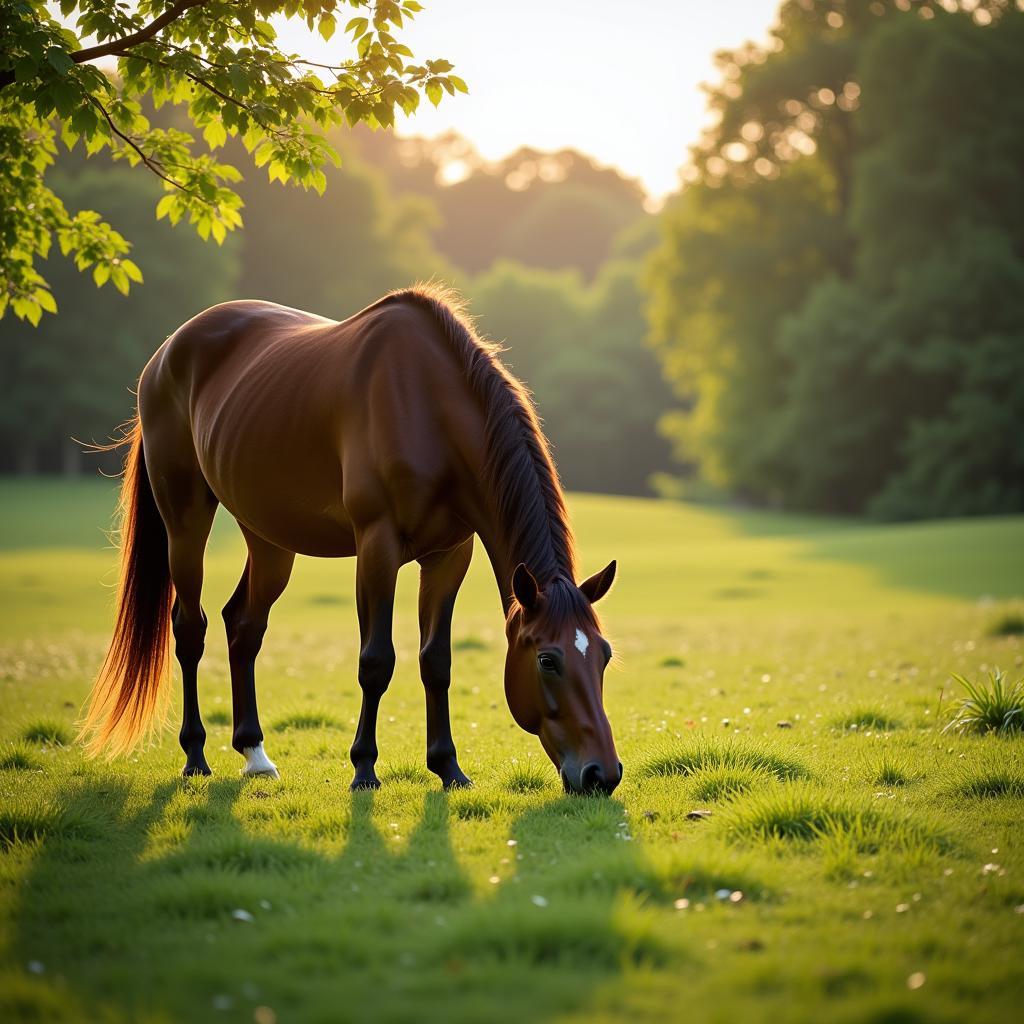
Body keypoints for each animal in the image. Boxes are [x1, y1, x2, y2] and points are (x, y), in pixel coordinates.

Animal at [79, 284, 618, 794]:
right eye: (547, 660)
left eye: (605, 654)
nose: (602, 775)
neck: (426, 407)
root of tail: (167, 352)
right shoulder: (377, 548)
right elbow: (376, 661)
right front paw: (364, 768)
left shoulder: (449, 557)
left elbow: (436, 662)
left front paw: (448, 768)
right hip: (185, 521)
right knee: (190, 627)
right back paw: (195, 755)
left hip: (269, 538)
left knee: (243, 625)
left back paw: (255, 755)